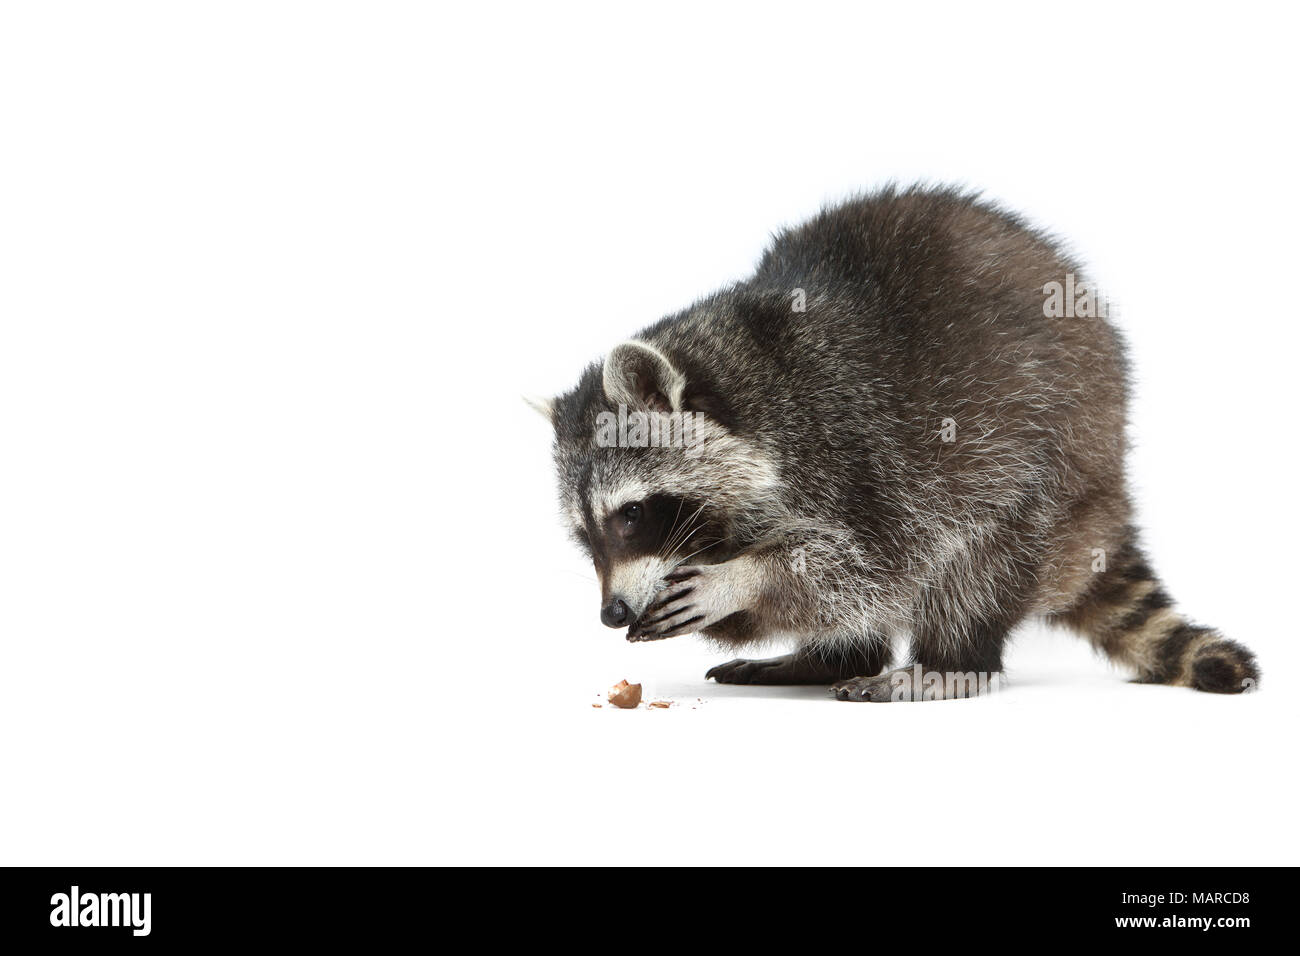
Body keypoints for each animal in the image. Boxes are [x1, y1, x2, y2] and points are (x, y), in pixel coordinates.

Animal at [530, 183, 1258, 697]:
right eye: (584, 535)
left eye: (631, 515)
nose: (612, 613)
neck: (751, 374)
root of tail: (1109, 484)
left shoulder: (861, 443)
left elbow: (863, 565)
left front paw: (742, 579)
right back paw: (835, 656)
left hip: (1045, 462)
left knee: (977, 560)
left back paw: (951, 663)